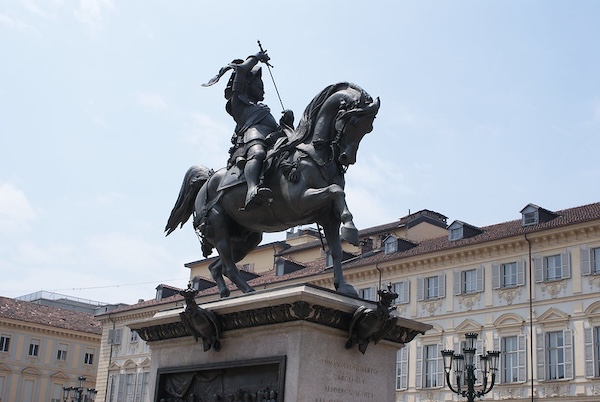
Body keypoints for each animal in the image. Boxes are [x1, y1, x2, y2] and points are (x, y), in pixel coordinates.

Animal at [164, 81, 380, 296]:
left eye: (369, 128)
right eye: (353, 122)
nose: (346, 158)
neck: (315, 154)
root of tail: (207, 180)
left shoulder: (328, 217)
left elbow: (336, 250)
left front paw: (342, 286)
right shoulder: (300, 201)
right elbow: (336, 190)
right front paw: (351, 230)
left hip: (246, 238)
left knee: (217, 267)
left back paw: (227, 293)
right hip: (219, 228)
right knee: (228, 266)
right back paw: (248, 290)